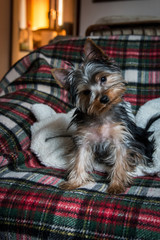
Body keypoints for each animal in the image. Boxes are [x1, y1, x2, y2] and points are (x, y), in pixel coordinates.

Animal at [52, 38, 156, 194]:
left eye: (103, 78)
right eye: (86, 92)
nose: (104, 99)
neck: (102, 114)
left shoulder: (120, 137)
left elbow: (120, 160)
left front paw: (116, 185)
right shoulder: (84, 139)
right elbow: (79, 160)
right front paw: (74, 182)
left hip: (140, 142)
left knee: (138, 153)